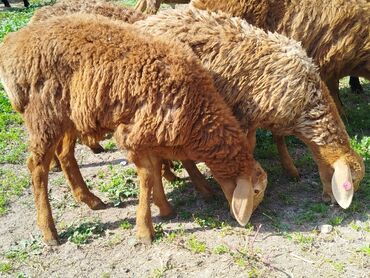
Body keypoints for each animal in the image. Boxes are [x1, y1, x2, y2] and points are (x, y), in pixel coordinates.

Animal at [0, 13, 266, 244]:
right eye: (256, 191)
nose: (252, 220)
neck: (197, 111)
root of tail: (12, 43)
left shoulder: (151, 134)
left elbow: (156, 170)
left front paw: (164, 207)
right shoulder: (132, 135)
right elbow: (147, 177)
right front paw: (146, 229)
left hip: (71, 116)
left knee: (65, 155)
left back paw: (90, 199)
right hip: (44, 114)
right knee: (37, 167)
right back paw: (49, 232)